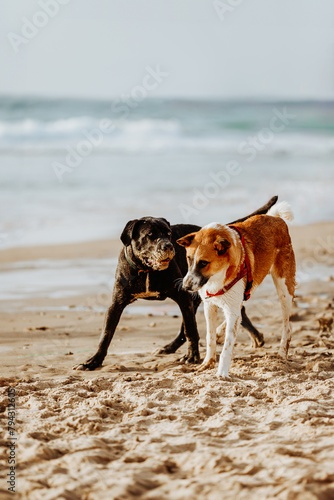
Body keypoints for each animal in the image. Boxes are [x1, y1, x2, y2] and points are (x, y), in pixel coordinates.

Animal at [73, 196, 276, 372]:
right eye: (150, 235)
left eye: (168, 234)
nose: (168, 246)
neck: (147, 271)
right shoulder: (116, 304)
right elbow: (106, 335)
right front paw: (93, 361)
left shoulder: (182, 296)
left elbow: (191, 330)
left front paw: (192, 356)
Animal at [177, 201, 294, 376]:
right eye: (189, 259)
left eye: (203, 263)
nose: (186, 286)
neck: (217, 275)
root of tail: (275, 218)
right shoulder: (209, 306)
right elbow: (210, 337)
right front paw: (207, 362)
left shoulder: (231, 309)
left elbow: (227, 346)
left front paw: (222, 373)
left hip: (284, 289)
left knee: (287, 325)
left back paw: (281, 353)